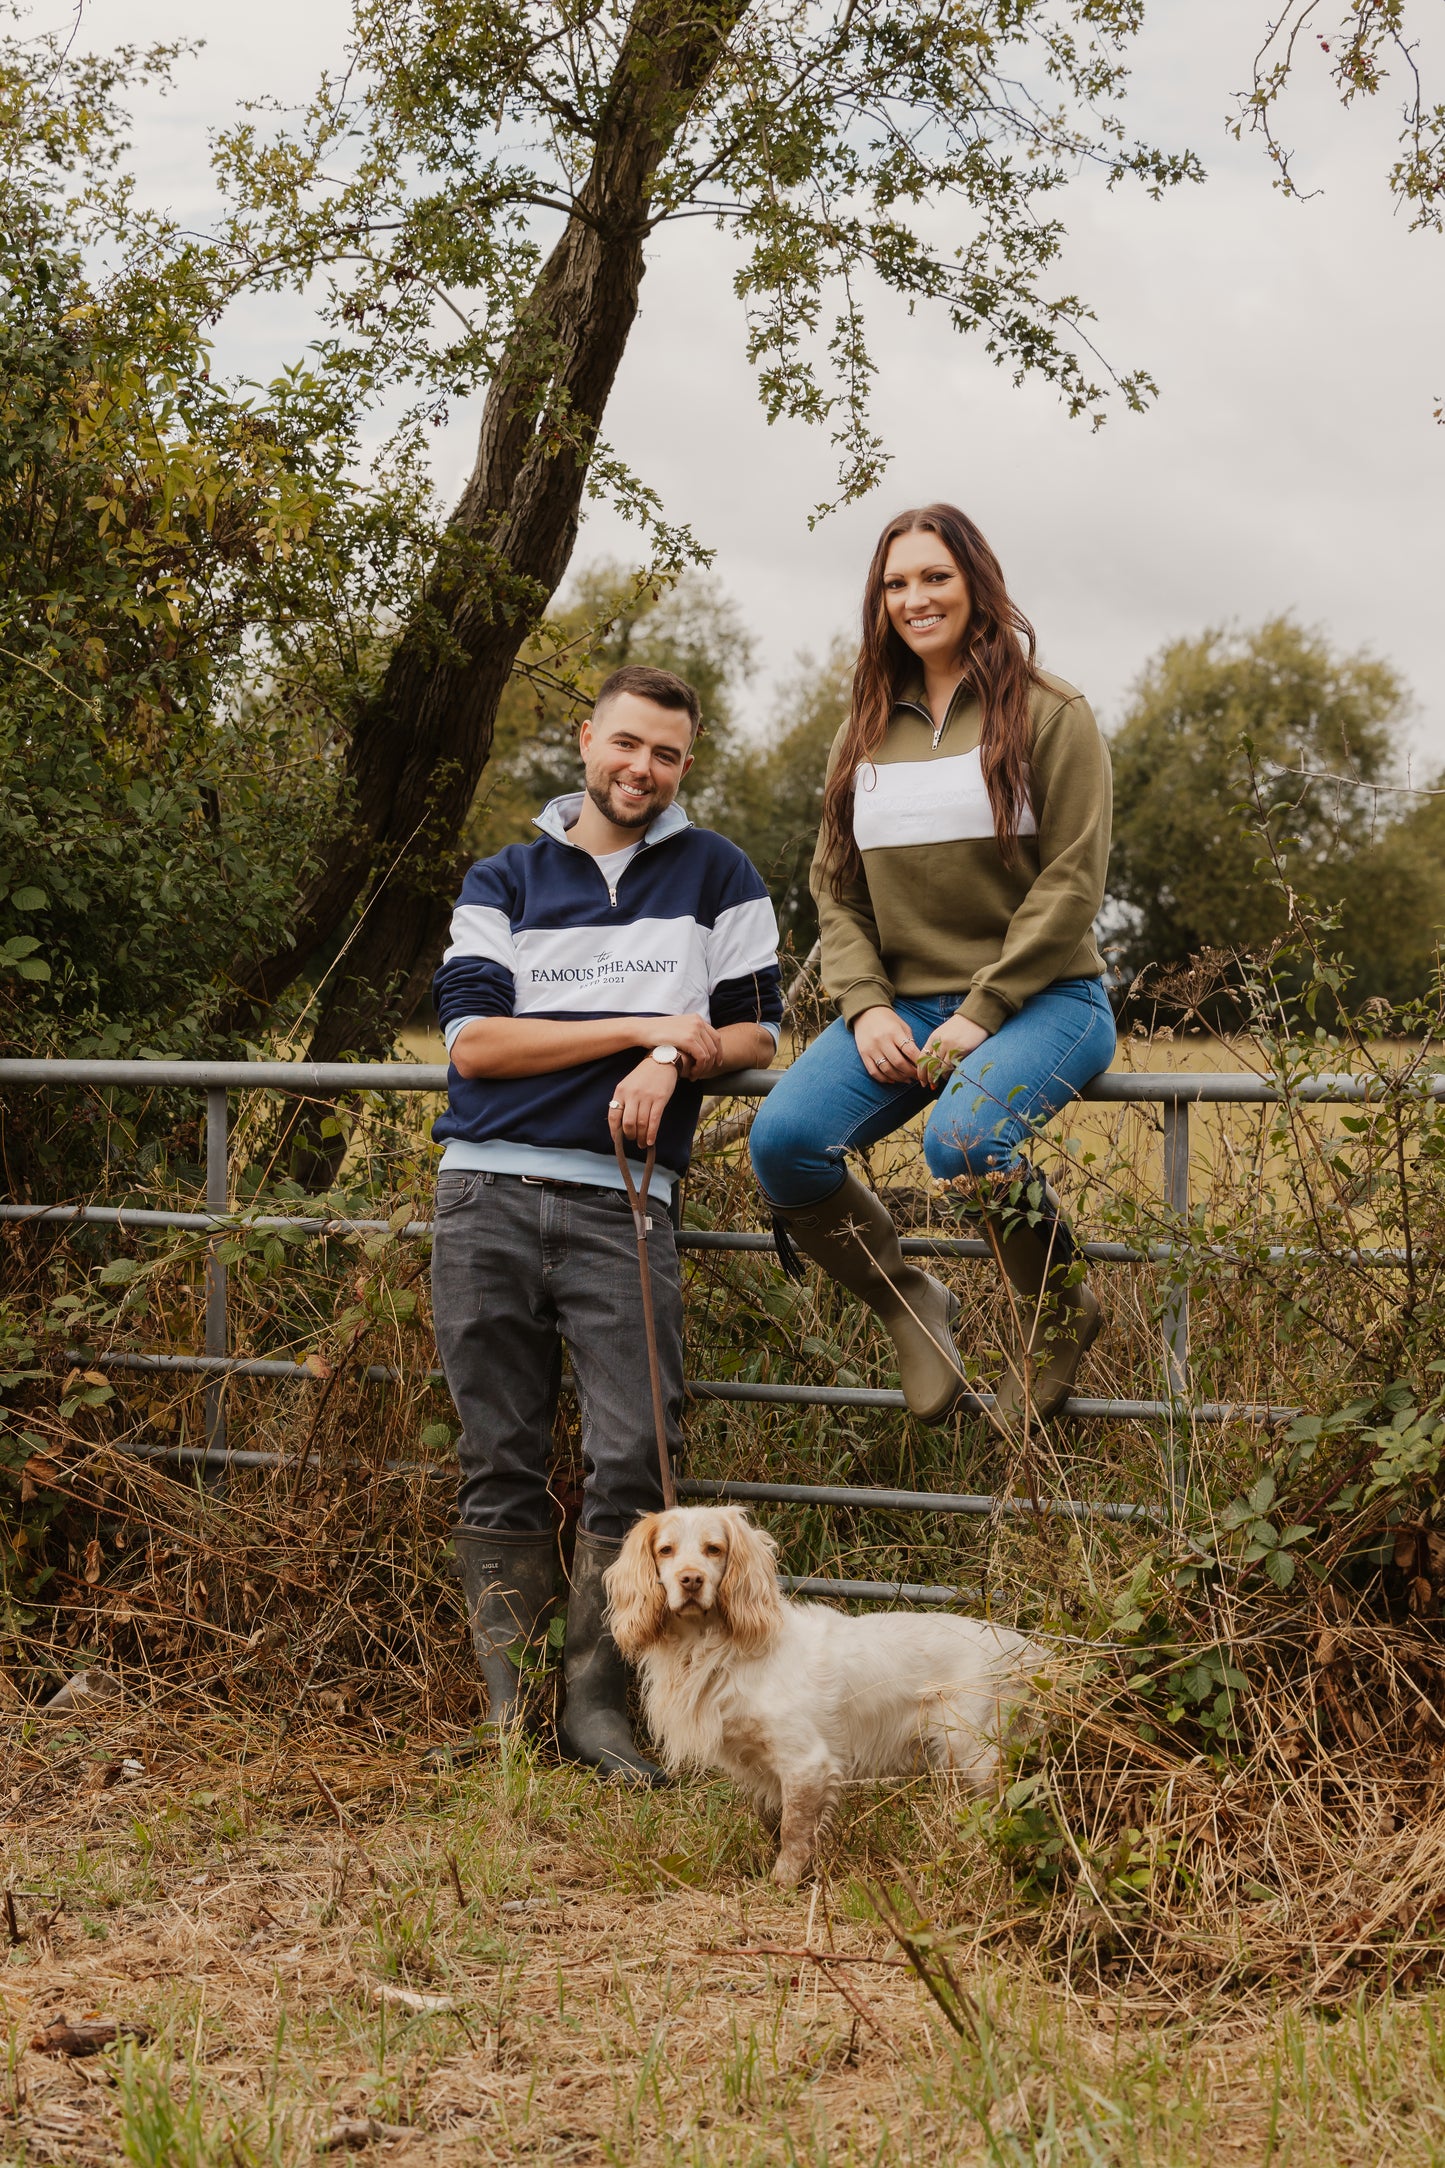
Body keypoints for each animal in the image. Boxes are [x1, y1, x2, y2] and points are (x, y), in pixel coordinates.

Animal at [606, 1508, 1044, 1881]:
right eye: (666, 1550)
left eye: (714, 1549)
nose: (691, 1580)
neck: (721, 1650)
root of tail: (1024, 1647)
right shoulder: (764, 1772)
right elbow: (775, 1823)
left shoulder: (807, 1763)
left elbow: (793, 1832)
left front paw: (782, 1883)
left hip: (977, 1759)